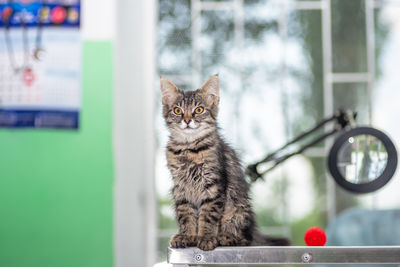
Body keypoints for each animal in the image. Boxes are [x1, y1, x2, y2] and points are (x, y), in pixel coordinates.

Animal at [161, 75, 290, 251]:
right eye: (177, 111)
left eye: (199, 110)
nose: (187, 120)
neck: (189, 148)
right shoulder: (181, 189)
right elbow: (186, 215)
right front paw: (187, 236)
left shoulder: (214, 186)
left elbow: (207, 216)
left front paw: (205, 237)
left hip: (238, 210)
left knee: (244, 240)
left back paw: (225, 237)